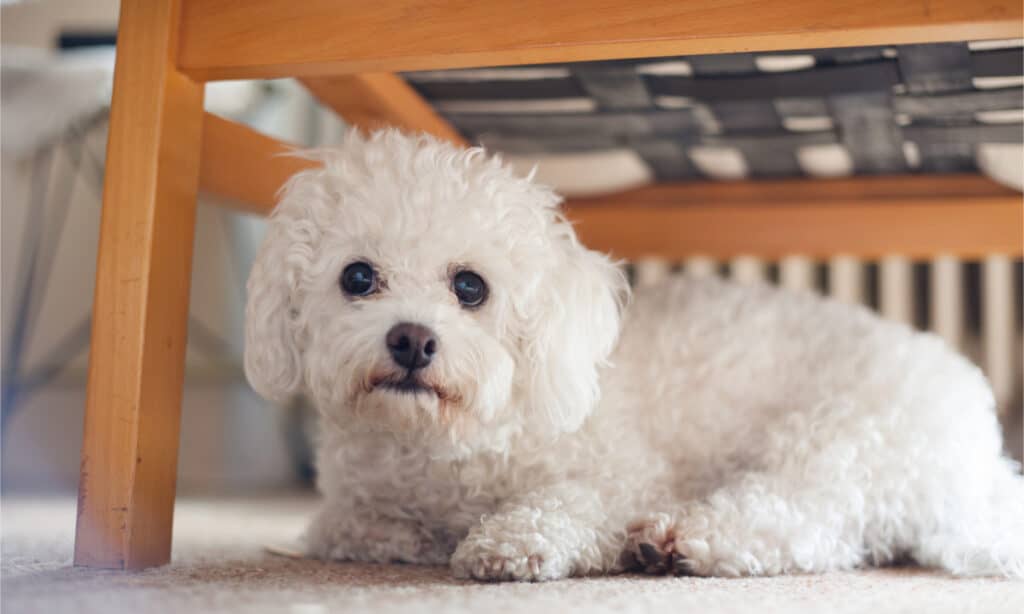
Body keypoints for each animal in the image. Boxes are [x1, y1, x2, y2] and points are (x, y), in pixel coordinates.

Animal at [245, 129, 1024, 581]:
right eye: (357, 278)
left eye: (470, 286)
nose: (410, 339)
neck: (441, 446)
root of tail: (984, 457)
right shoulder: (350, 507)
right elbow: (341, 528)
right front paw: (412, 536)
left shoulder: (621, 475)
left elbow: (567, 504)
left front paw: (512, 541)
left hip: (840, 439)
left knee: (803, 522)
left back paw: (677, 541)